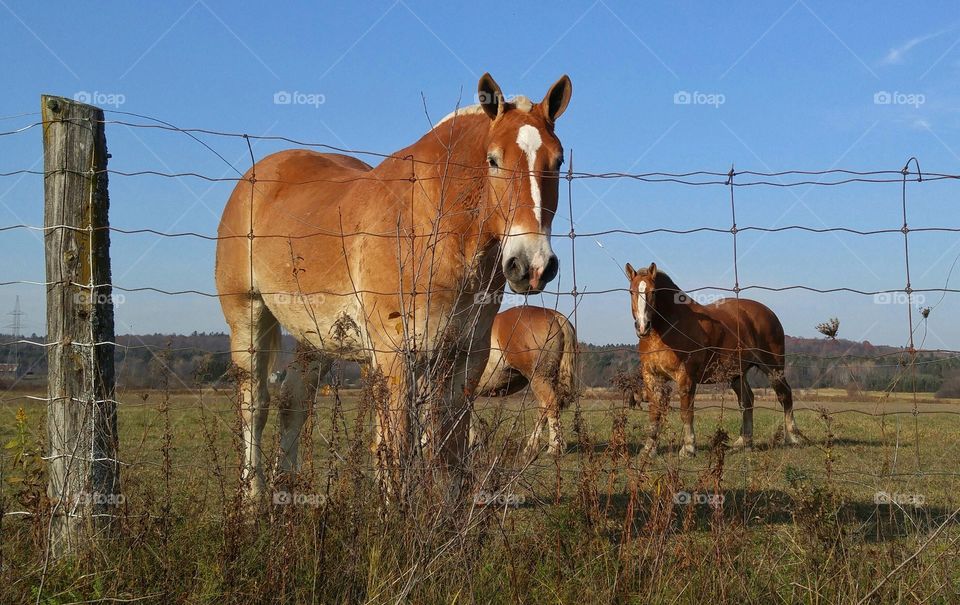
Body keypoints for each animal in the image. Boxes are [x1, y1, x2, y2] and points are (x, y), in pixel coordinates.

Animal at [474, 305, 578, 456]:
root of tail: (554, 315)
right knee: (543, 409)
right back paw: (531, 447)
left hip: (538, 377)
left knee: (550, 404)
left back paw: (554, 448)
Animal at [624, 262, 800, 457]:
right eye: (631, 291)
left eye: (654, 292)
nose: (642, 326)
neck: (665, 330)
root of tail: (768, 313)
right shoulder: (652, 377)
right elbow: (655, 413)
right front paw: (649, 449)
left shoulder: (686, 377)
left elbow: (686, 412)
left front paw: (688, 448)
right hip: (737, 374)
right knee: (747, 401)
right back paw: (744, 441)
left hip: (773, 367)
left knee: (785, 395)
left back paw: (792, 438)